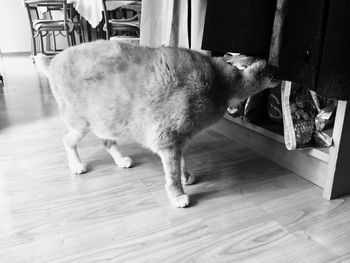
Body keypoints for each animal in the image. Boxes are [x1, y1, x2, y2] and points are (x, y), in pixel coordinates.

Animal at [34, 40, 278, 208]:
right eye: (273, 69)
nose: (280, 73)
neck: (219, 82)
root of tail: (53, 59)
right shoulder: (167, 138)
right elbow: (172, 173)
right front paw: (177, 194)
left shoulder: (179, 139)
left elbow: (181, 162)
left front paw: (185, 176)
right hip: (80, 123)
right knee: (68, 140)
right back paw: (77, 165)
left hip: (104, 120)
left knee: (106, 141)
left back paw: (120, 159)